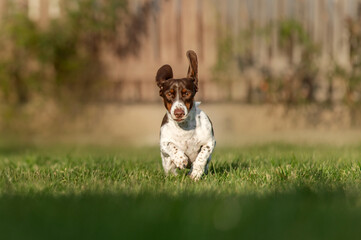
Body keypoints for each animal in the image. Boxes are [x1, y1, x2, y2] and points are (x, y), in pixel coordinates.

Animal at [154, 49, 214, 180]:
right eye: (169, 94)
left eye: (186, 93)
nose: (179, 113)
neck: (184, 127)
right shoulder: (163, 143)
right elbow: (171, 145)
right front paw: (181, 159)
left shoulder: (210, 142)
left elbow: (202, 156)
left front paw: (196, 173)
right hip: (166, 163)